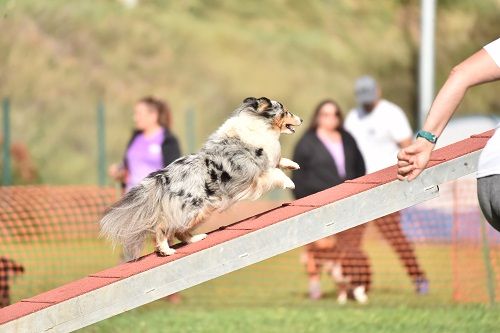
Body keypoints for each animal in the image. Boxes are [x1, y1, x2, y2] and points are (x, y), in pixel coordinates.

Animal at [98, 97, 300, 260]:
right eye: (285, 111)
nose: (302, 119)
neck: (258, 124)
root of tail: (162, 176)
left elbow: (279, 162)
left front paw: (293, 165)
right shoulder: (255, 173)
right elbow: (275, 173)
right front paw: (290, 183)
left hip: (202, 210)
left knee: (179, 231)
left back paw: (196, 238)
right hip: (192, 209)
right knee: (164, 227)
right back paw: (166, 250)